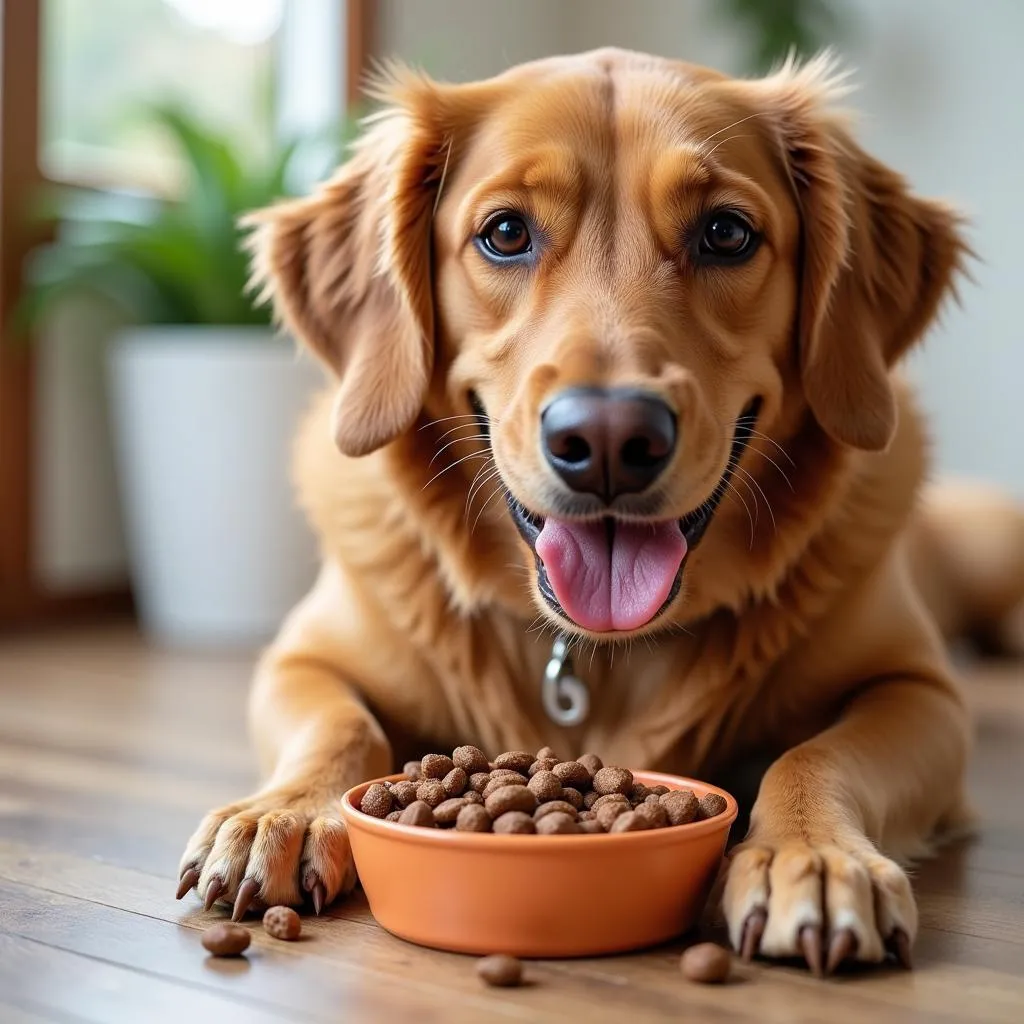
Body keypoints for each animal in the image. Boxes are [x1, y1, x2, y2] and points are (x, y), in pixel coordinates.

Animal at [176, 49, 1024, 974]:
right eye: (505, 233)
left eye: (727, 233)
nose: (611, 440)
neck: (592, 655)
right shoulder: (302, 658)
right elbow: (340, 726)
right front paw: (284, 812)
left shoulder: (919, 691)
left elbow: (818, 754)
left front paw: (813, 855)